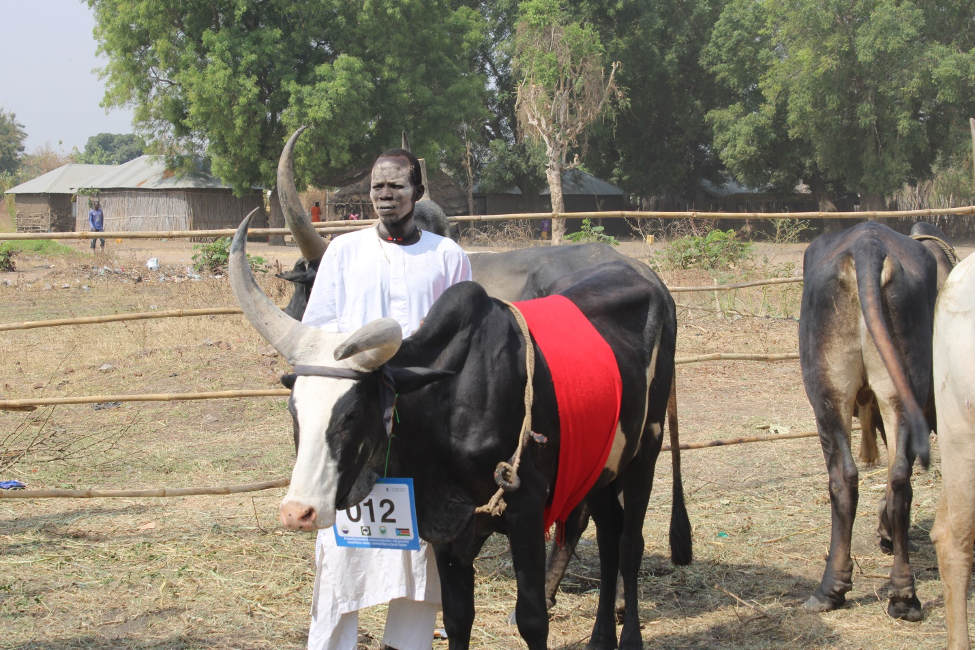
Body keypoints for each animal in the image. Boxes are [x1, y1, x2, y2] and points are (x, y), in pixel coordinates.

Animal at [229, 211, 692, 644]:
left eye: (351, 414)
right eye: (294, 411)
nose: (298, 512)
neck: (451, 402)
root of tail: (652, 279)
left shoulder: (525, 506)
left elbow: (532, 620)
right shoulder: (446, 527)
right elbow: (456, 617)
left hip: (645, 451)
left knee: (629, 541)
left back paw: (627, 636)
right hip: (596, 464)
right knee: (609, 533)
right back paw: (600, 638)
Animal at [800, 221, 936, 616]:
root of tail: (867, 246)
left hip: (825, 393)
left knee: (843, 478)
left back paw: (830, 589)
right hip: (900, 390)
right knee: (899, 478)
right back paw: (904, 595)